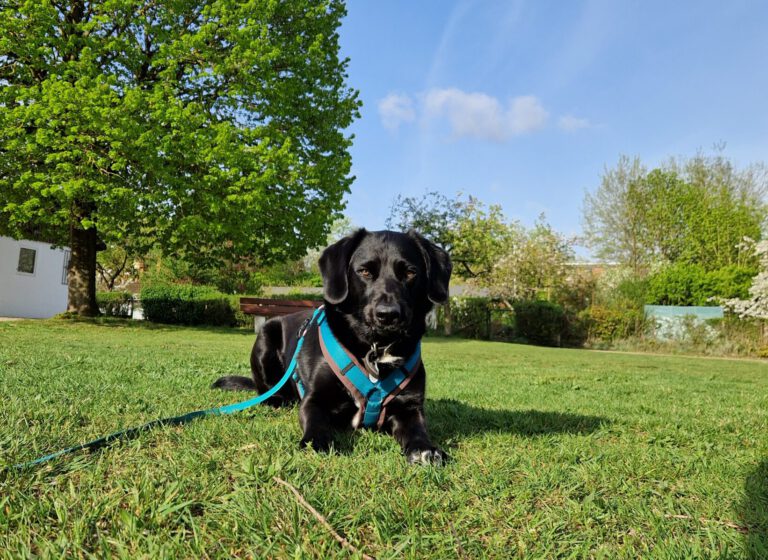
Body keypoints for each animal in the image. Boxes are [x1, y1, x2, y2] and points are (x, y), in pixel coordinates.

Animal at [212, 228, 450, 464]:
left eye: (410, 273)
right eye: (364, 271)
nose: (388, 314)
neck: (376, 348)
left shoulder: (409, 406)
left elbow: (417, 430)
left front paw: (425, 449)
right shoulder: (315, 399)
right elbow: (315, 422)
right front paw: (315, 442)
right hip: (265, 339)